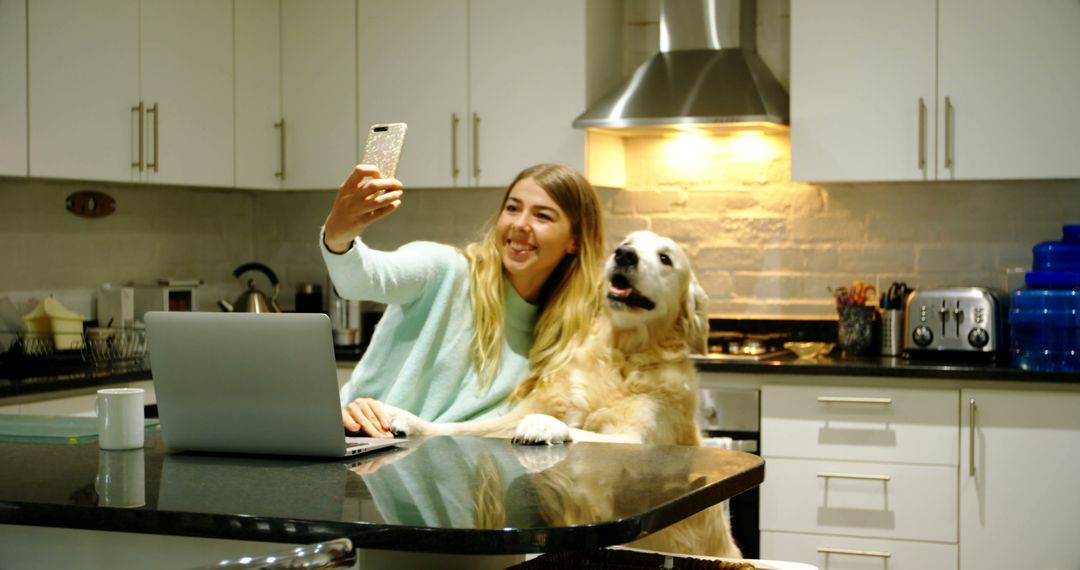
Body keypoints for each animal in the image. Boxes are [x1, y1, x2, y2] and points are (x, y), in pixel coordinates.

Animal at [384, 228, 747, 557]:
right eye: (627, 242)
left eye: (665, 258)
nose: (624, 255)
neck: (620, 353)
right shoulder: (510, 417)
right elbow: (463, 427)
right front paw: (410, 421)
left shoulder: (637, 439)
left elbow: (583, 432)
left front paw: (544, 425)